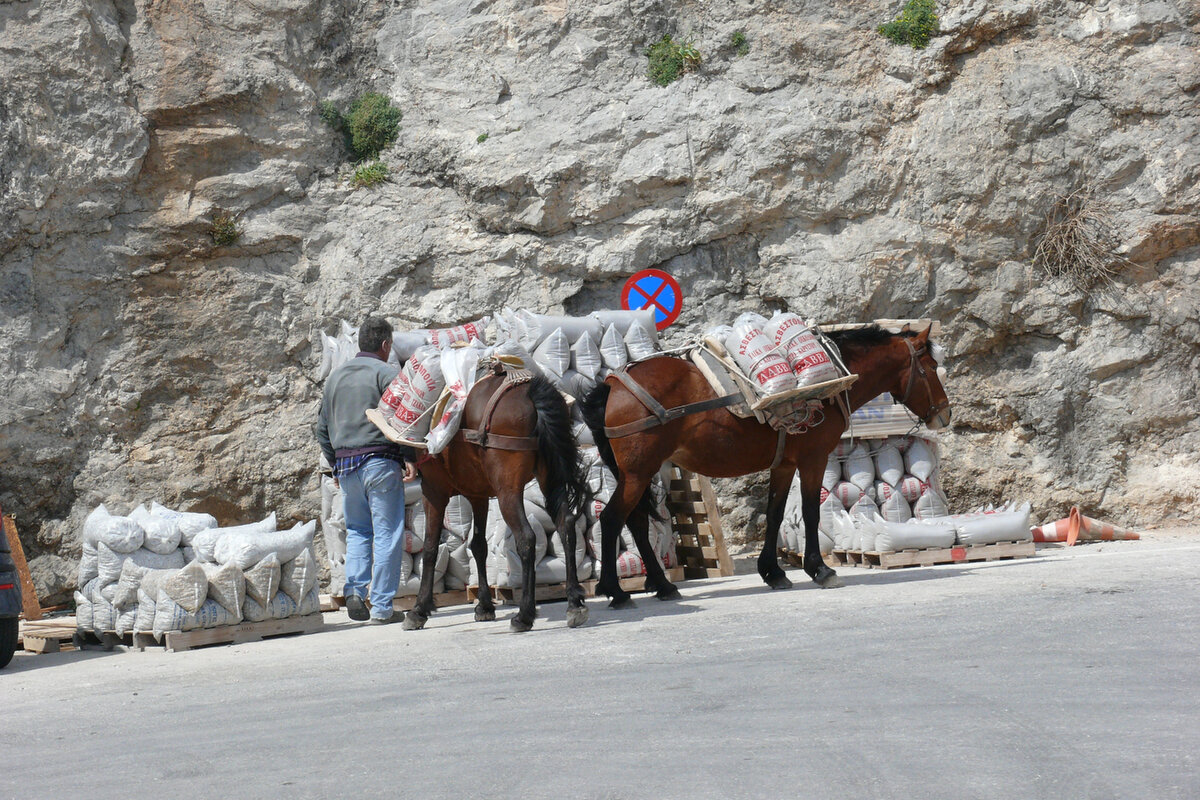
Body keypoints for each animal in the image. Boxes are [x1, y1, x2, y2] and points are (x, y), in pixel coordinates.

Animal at [403, 367, 590, 633]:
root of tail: (532, 392)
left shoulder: (433, 490)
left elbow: (430, 548)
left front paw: (419, 608)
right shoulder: (478, 494)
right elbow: (478, 546)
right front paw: (484, 605)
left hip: (507, 491)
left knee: (526, 538)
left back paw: (524, 615)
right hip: (551, 479)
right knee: (566, 527)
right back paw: (574, 603)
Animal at [576, 323, 950, 606]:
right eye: (932, 368)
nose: (945, 414)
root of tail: (612, 386)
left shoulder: (783, 464)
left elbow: (774, 513)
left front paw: (773, 571)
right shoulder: (813, 459)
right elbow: (811, 512)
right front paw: (820, 569)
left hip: (639, 473)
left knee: (636, 522)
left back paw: (662, 585)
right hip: (638, 473)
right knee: (613, 519)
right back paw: (616, 591)